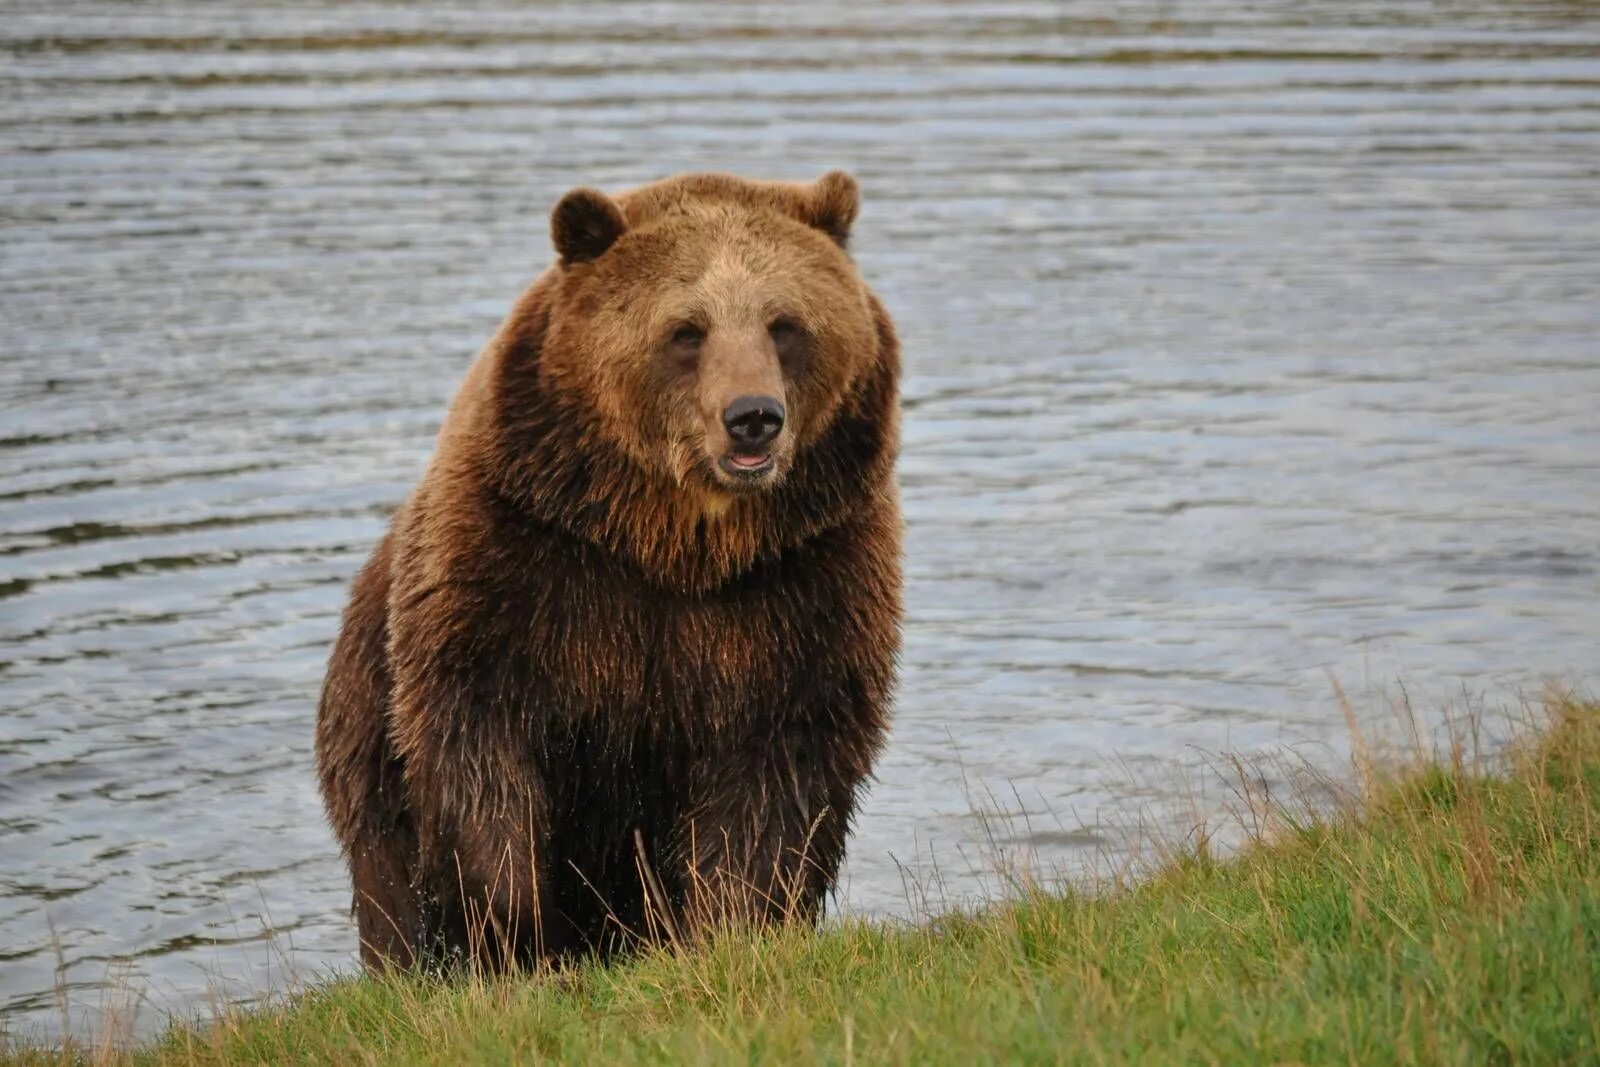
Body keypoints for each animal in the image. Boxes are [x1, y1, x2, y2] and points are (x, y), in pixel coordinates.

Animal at [315, 171, 902, 972]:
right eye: (687, 330)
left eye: (784, 324)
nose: (753, 416)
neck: (672, 544)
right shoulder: (523, 558)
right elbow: (475, 742)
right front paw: (514, 934)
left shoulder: (805, 582)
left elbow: (781, 770)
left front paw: (732, 926)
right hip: (362, 724)